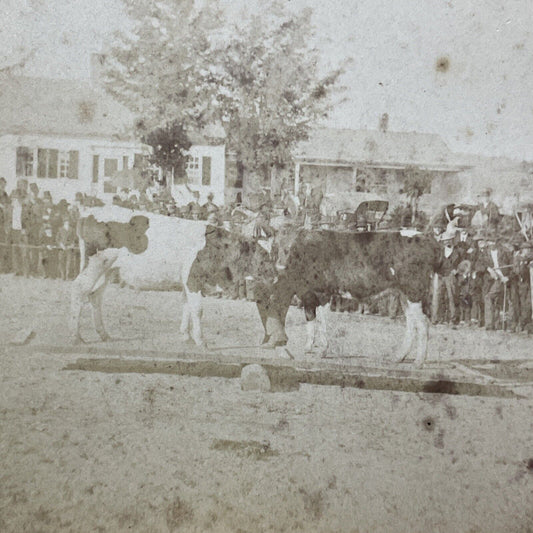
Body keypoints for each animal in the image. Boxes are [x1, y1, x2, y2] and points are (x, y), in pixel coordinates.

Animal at [69, 204, 274, 344]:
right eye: (262, 256)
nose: (275, 275)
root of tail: (87, 212)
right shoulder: (193, 279)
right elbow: (197, 310)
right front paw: (201, 340)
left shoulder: (187, 282)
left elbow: (186, 306)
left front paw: (186, 336)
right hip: (95, 264)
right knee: (79, 290)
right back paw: (76, 336)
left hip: (107, 269)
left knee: (95, 297)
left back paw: (103, 334)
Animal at [262, 227, 440, 368]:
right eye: (275, 247)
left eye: (291, 248)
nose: (280, 266)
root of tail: (426, 237)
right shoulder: (307, 294)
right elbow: (310, 320)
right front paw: (307, 348)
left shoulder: (323, 293)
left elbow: (321, 322)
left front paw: (322, 351)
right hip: (404, 294)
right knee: (411, 323)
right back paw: (398, 357)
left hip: (414, 291)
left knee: (423, 323)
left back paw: (419, 362)